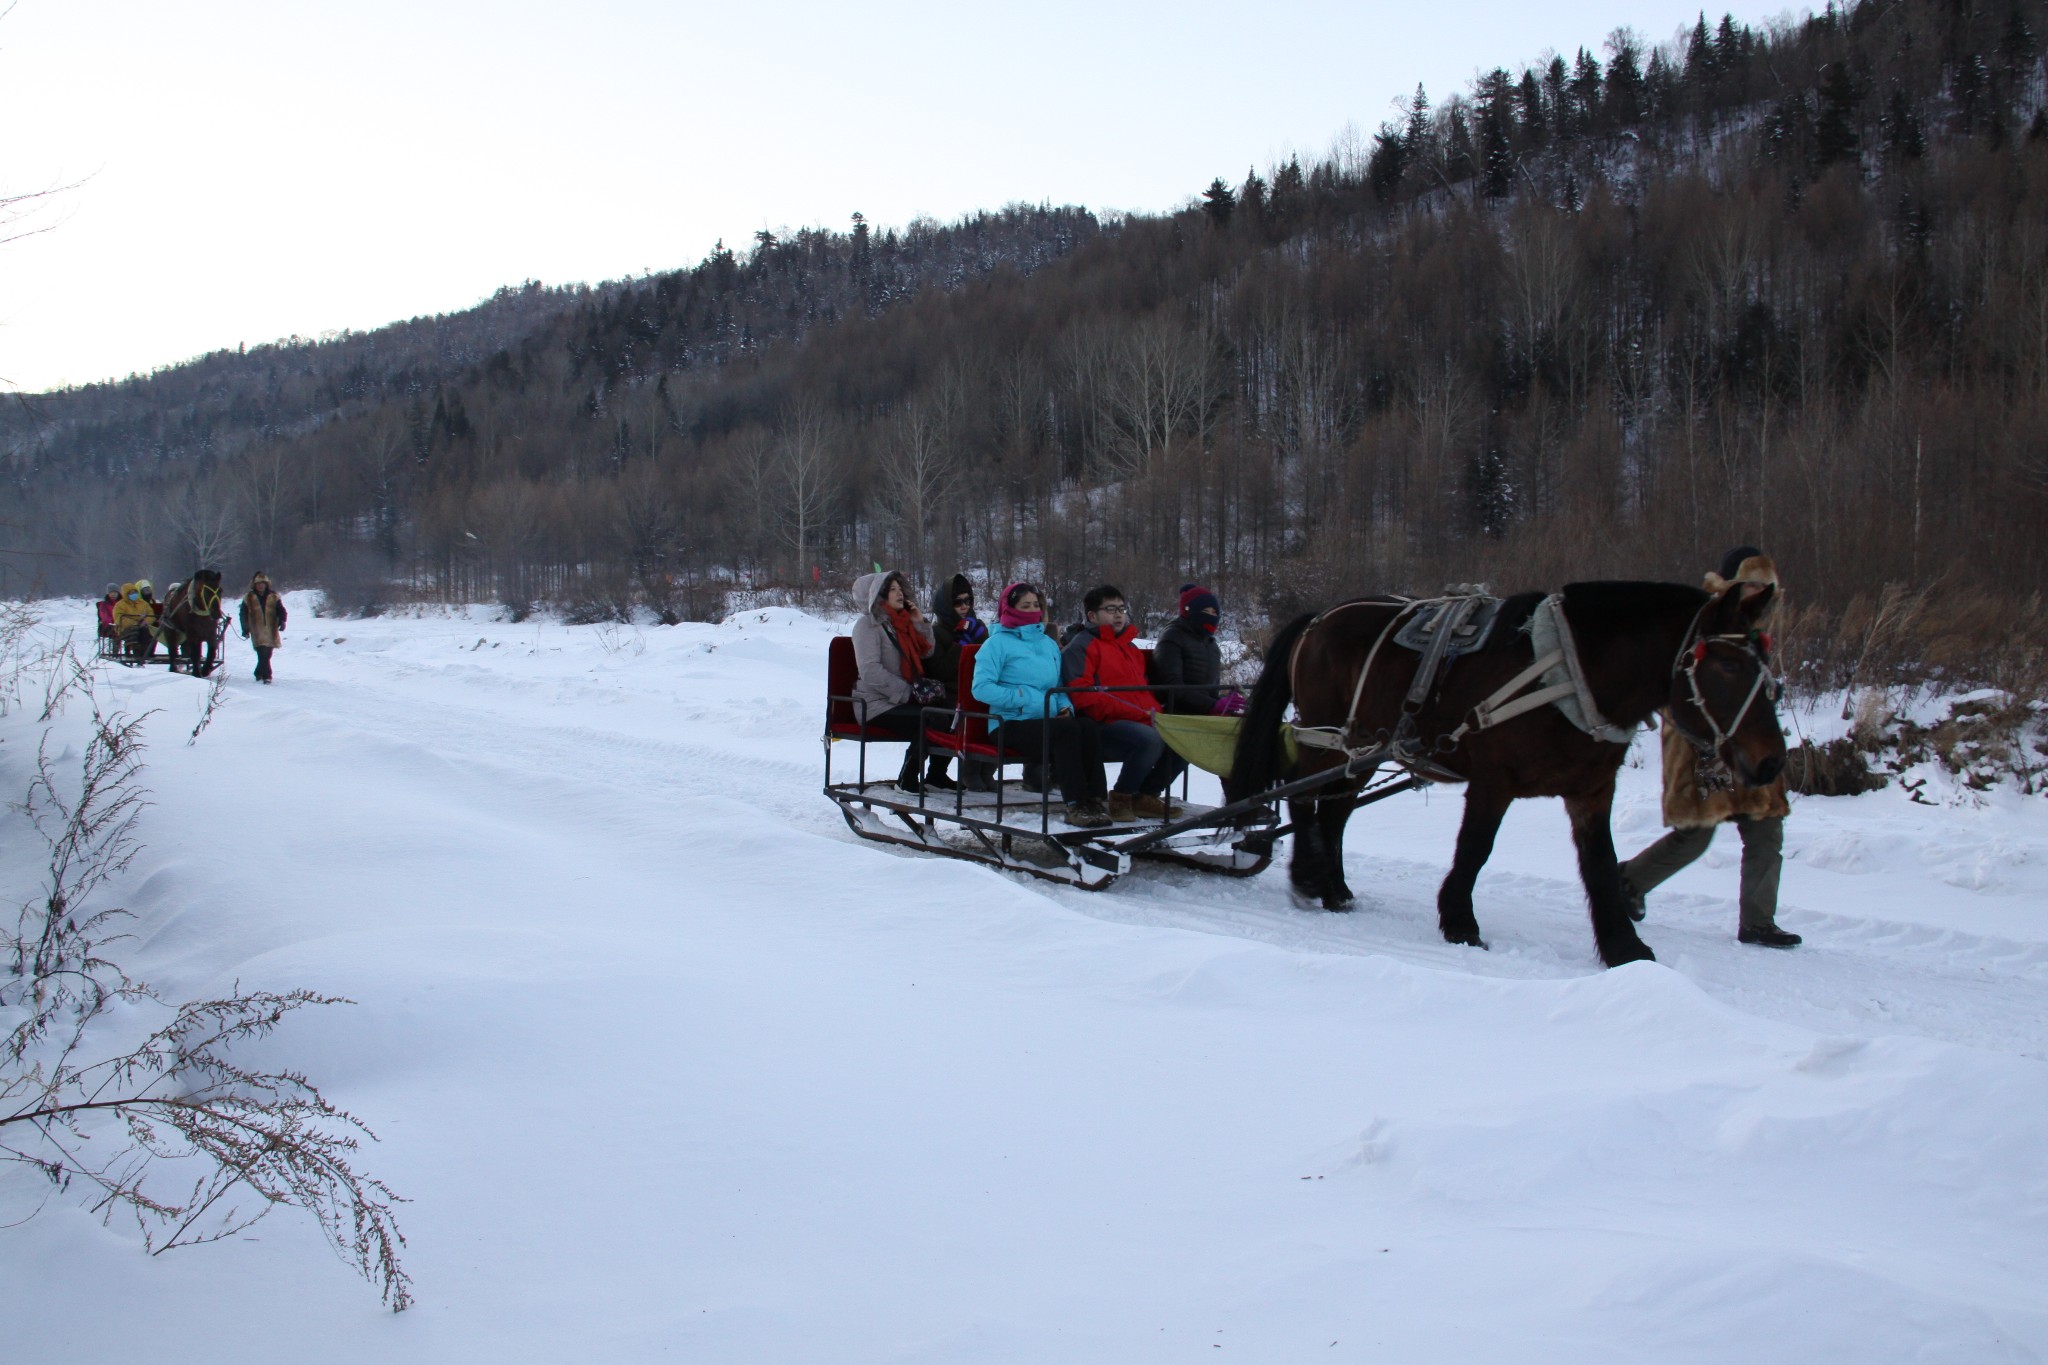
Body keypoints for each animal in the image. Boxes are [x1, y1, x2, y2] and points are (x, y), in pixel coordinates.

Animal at [1220, 581, 1785, 965]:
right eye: (1728, 665)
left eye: (1768, 670)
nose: (1772, 761)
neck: (1570, 672)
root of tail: (1319, 618)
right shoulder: (1494, 781)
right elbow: (1476, 849)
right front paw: (1459, 922)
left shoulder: (1592, 789)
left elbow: (1600, 864)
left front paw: (1624, 945)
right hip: (1326, 736)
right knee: (1303, 799)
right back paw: (1307, 876)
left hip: (1363, 746)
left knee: (1335, 813)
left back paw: (1335, 888)